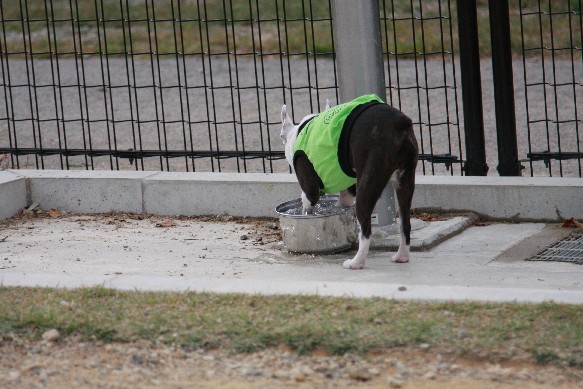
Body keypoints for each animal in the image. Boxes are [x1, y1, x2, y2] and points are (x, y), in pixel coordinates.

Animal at [280, 95, 420, 268]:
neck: (296, 135)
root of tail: (399, 123)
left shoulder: (309, 183)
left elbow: (308, 198)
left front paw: (307, 210)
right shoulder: (349, 189)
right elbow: (343, 200)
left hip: (368, 183)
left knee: (366, 231)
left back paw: (356, 262)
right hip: (405, 180)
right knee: (405, 223)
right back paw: (402, 256)